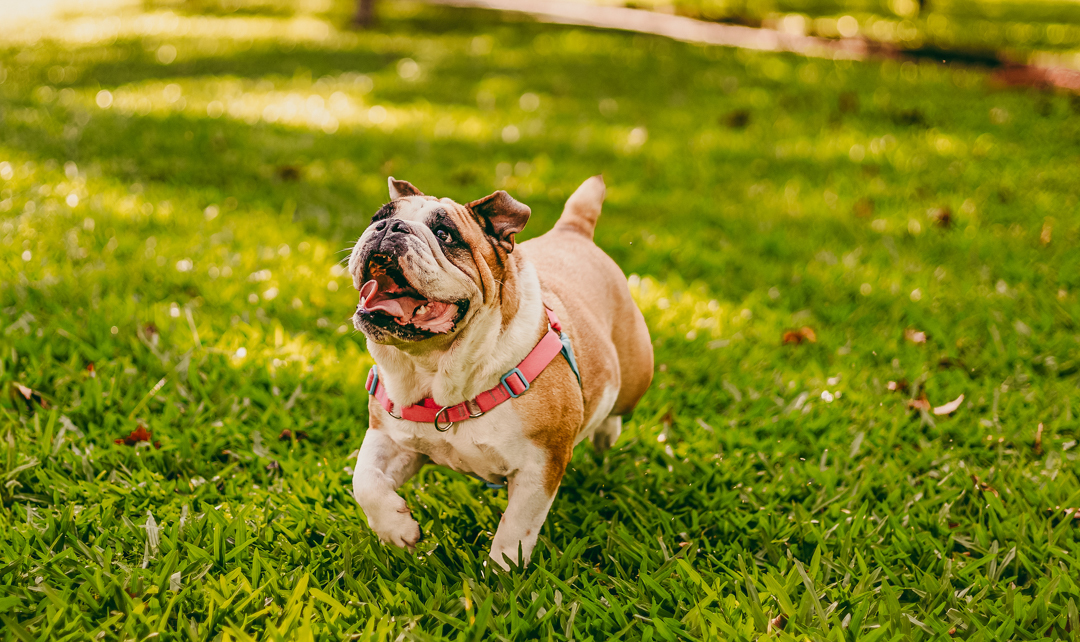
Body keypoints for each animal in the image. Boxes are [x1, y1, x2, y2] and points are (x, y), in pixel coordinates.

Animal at [347, 175, 653, 569]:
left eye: (445, 234)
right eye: (378, 217)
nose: (389, 227)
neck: (437, 370)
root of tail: (573, 231)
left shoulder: (540, 467)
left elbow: (517, 526)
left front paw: (502, 573)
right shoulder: (390, 437)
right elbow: (365, 481)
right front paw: (398, 532)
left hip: (635, 375)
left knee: (617, 406)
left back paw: (605, 432)